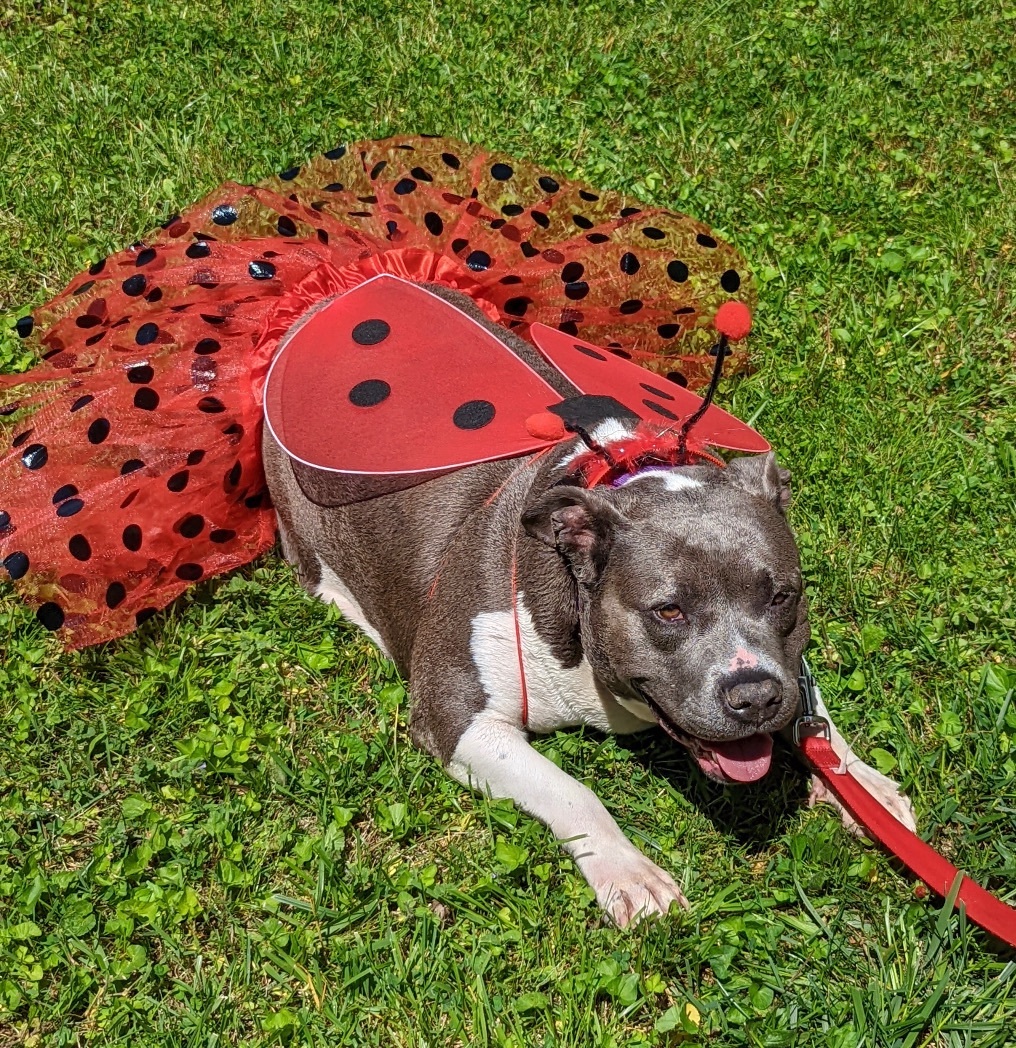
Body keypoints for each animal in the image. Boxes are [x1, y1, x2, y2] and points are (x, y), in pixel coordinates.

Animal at [260, 287, 910, 926]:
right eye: (668, 611)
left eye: (782, 596)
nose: (754, 696)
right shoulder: (457, 717)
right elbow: (572, 790)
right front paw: (631, 874)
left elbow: (813, 710)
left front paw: (862, 783)